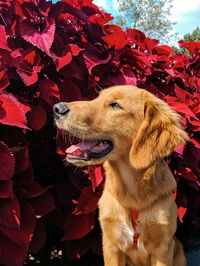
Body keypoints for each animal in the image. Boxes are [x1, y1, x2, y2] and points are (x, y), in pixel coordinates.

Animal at [52, 85, 188, 266]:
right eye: (97, 98)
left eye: (115, 105)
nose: (57, 109)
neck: (133, 194)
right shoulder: (111, 244)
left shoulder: (163, 248)